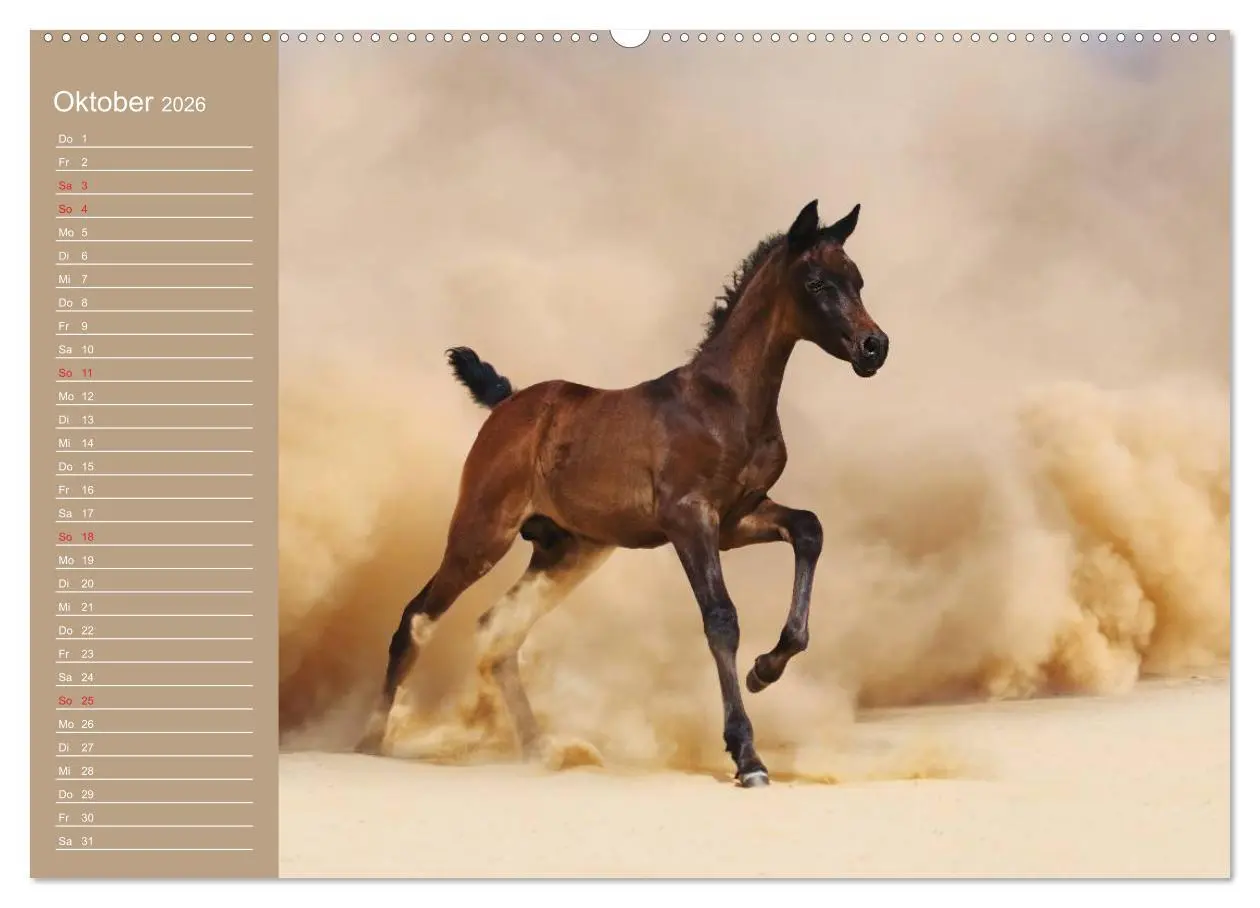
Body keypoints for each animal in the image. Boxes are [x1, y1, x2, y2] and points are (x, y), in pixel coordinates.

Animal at [356, 199, 889, 787]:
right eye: (817, 283)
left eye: (858, 280)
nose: (875, 347)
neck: (725, 402)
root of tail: (508, 402)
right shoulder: (690, 520)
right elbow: (721, 619)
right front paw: (747, 755)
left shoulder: (737, 519)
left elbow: (809, 529)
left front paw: (765, 670)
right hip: (481, 534)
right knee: (416, 618)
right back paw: (370, 741)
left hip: (566, 552)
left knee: (498, 631)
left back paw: (541, 748)